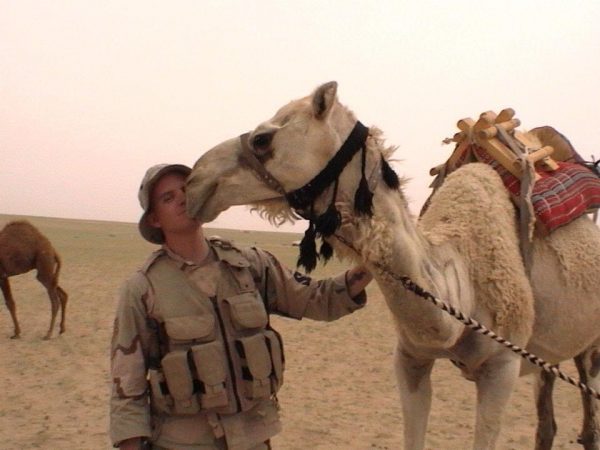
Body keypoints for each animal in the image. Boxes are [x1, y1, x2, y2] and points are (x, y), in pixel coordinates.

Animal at [186, 81, 600, 450]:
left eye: (263, 140)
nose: (195, 180)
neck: (461, 286)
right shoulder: (411, 358)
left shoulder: (502, 368)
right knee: (547, 419)